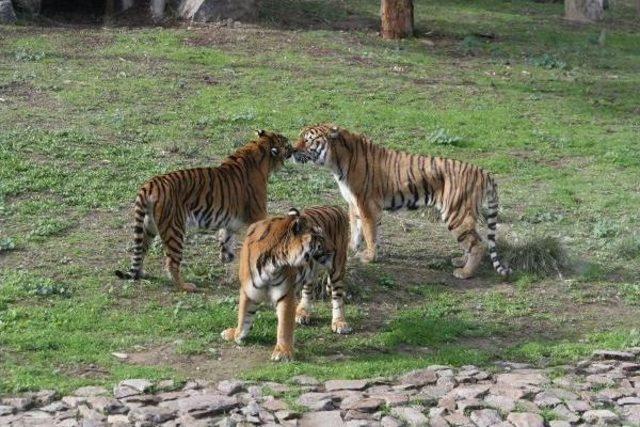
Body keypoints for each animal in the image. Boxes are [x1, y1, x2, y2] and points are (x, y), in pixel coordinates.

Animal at [114, 129, 292, 292]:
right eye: (287, 144)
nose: (294, 150)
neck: (259, 149)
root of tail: (150, 184)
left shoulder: (230, 221)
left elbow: (226, 238)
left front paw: (227, 257)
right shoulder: (258, 214)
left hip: (149, 226)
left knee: (141, 250)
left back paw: (141, 273)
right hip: (174, 229)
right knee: (171, 262)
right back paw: (185, 286)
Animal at [220, 206, 350, 362]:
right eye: (320, 237)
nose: (334, 248)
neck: (272, 262)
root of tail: (336, 207)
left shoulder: (285, 294)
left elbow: (284, 326)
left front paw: (283, 352)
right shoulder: (248, 290)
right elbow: (243, 316)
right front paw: (237, 334)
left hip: (337, 269)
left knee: (338, 297)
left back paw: (340, 323)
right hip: (311, 270)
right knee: (308, 289)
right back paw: (302, 313)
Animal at [292, 123, 512, 280]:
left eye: (308, 140)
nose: (292, 150)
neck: (335, 162)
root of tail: (483, 172)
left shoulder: (367, 205)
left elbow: (369, 232)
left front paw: (369, 257)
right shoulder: (353, 204)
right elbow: (355, 228)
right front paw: (353, 247)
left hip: (456, 213)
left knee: (478, 244)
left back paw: (465, 273)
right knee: (474, 240)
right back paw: (460, 261)